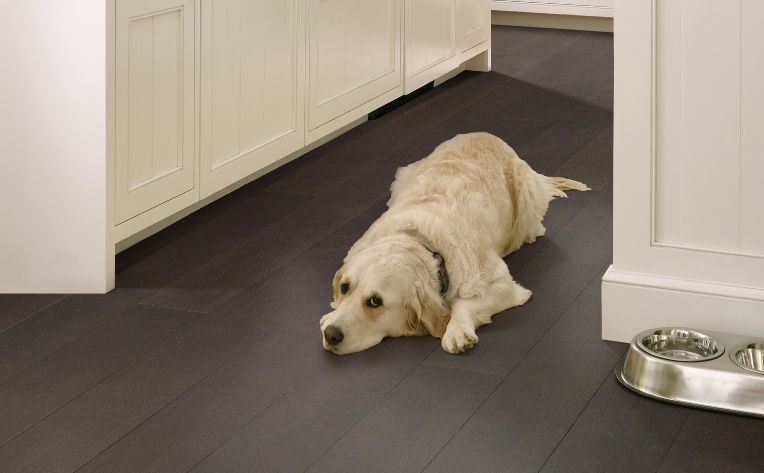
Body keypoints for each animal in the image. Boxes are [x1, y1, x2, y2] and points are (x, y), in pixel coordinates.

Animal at [320, 133, 588, 354]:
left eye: (375, 301)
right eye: (344, 287)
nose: (331, 334)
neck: (418, 241)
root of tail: (489, 135)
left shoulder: (504, 284)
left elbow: (463, 304)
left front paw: (457, 331)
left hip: (528, 195)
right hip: (402, 177)